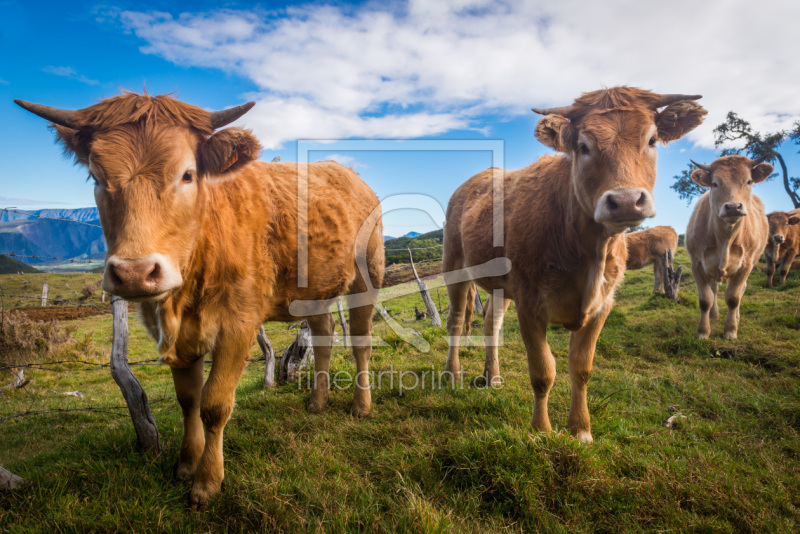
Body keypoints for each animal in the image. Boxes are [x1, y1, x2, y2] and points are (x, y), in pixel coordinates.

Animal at [14, 94, 384, 508]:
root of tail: (347, 173)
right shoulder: (176, 335)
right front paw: (186, 465)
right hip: (313, 293)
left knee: (361, 342)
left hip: (368, 276)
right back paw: (317, 403)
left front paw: (207, 482)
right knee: (323, 336)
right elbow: (188, 399)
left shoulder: (239, 325)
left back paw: (360, 406)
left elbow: (215, 404)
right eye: (96, 177)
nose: (134, 272)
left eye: (187, 174)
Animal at [444, 87, 708, 444]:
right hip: (455, 264)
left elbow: (581, 368)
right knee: (457, 321)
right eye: (583, 146)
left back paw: (493, 376)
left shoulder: (602, 305)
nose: (625, 200)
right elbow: (543, 371)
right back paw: (452, 374)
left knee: (491, 325)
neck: (588, 253)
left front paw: (581, 429)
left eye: (652, 140)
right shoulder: (529, 303)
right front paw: (541, 431)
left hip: (500, 285)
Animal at [684, 156, 772, 340]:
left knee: (740, 290)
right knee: (714, 290)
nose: (733, 207)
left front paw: (731, 330)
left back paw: (736, 318)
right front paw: (703, 331)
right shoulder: (697, 264)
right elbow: (706, 299)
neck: (725, 237)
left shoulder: (745, 265)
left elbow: (733, 298)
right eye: (715, 183)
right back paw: (714, 315)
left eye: (749, 181)